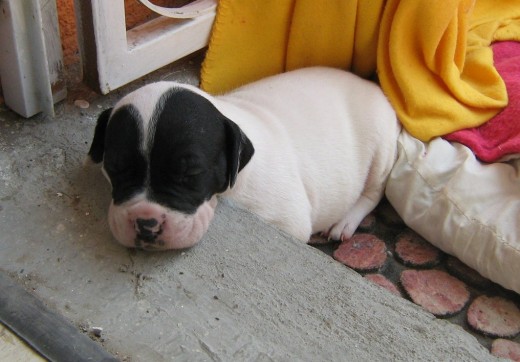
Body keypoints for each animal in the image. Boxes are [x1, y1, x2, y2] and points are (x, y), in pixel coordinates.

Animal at [87, 67, 400, 249]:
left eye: (191, 175)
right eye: (114, 168)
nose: (146, 224)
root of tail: (371, 85)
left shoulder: (287, 223)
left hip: (382, 145)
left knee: (374, 192)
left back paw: (346, 222)